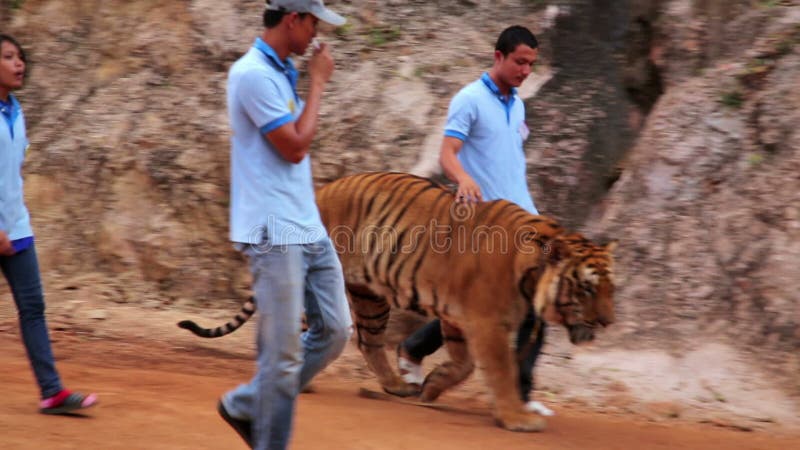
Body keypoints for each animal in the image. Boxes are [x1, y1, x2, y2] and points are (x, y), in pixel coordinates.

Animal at [178, 172, 616, 432]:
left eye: (611, 287)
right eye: (587, 288)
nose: (608, 322)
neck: (531, 276)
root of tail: (319, 190)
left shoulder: (460, 318)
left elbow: (463, 365)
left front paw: (432, 387)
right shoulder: (486, 323)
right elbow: (500, 372)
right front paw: (517, 418)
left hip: (370, 296)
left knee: (367, 342)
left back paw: (395, 385)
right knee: (296, 329)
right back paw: (300, 381)